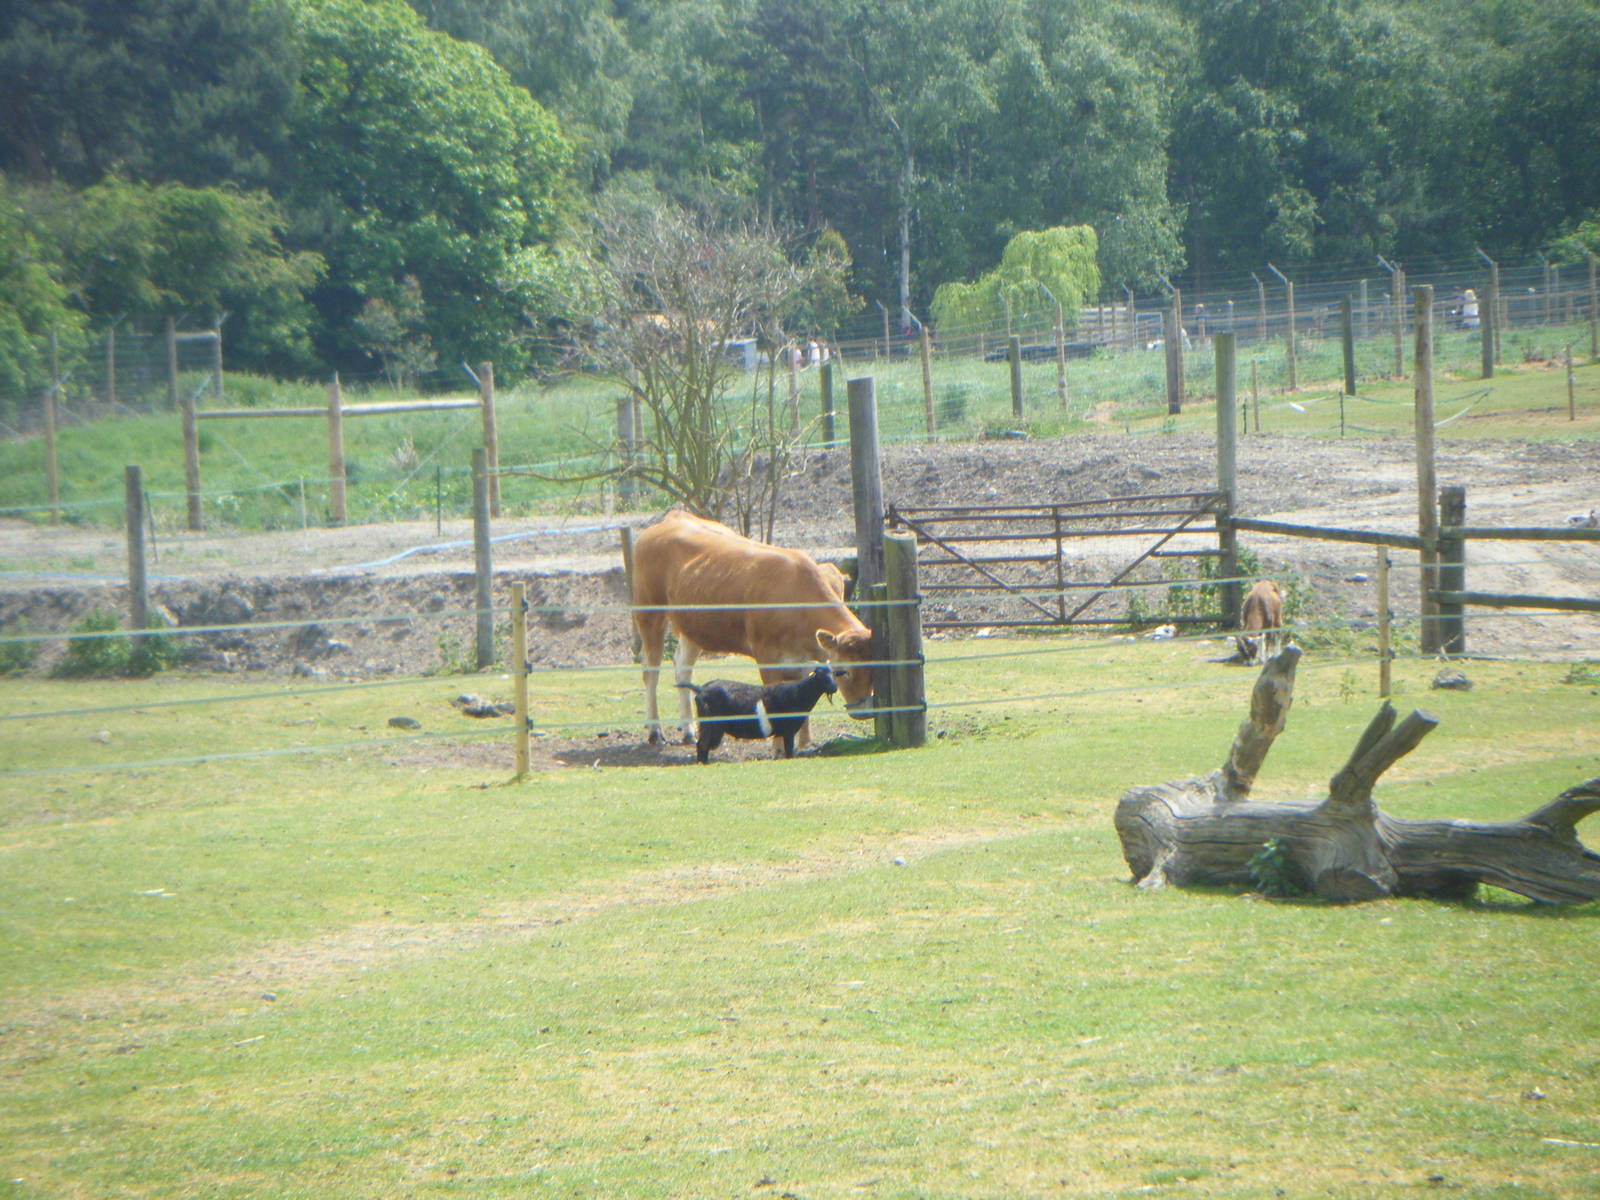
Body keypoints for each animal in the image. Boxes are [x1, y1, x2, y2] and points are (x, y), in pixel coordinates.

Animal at [631, 509, 875, 747]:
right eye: (844, 671)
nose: (864, 710)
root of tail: (674, 517)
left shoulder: (802, 659)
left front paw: (805, 744)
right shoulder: (767, 656)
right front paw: (779, 749)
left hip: (694, 626)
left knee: (682, 666)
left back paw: (689, 731)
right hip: (649, 612)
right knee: (650, 670)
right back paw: (655, 731)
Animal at [677, 665, 838, 763]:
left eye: (833, 674)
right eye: (820, 676)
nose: (834, 687)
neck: (798, 693)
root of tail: (700, 689)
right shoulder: (788, 730)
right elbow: (789, 750)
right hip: (711, 725)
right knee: (702, 744)